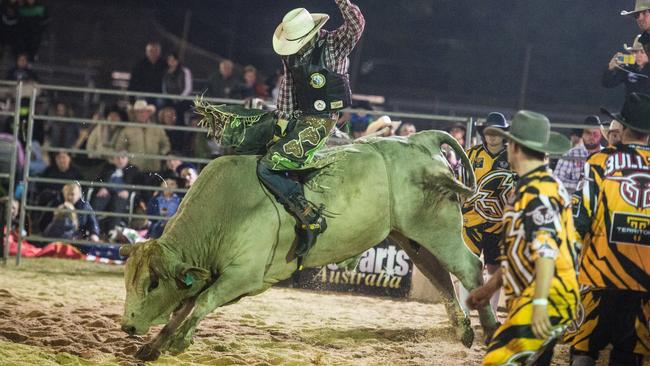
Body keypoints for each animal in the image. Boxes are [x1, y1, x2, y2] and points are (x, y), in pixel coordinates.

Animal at [120, 129, 496, 360]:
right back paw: (463, 331)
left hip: (436, 228)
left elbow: (202, 301)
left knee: (469, 267)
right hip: (413, 236)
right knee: (440, 275)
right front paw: (154, 345)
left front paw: (178, 342)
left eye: (153, 283)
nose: (127, 326)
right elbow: (186, 304)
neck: (226, 210)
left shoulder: (244, 277)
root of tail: (421, 140)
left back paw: (491, 330)